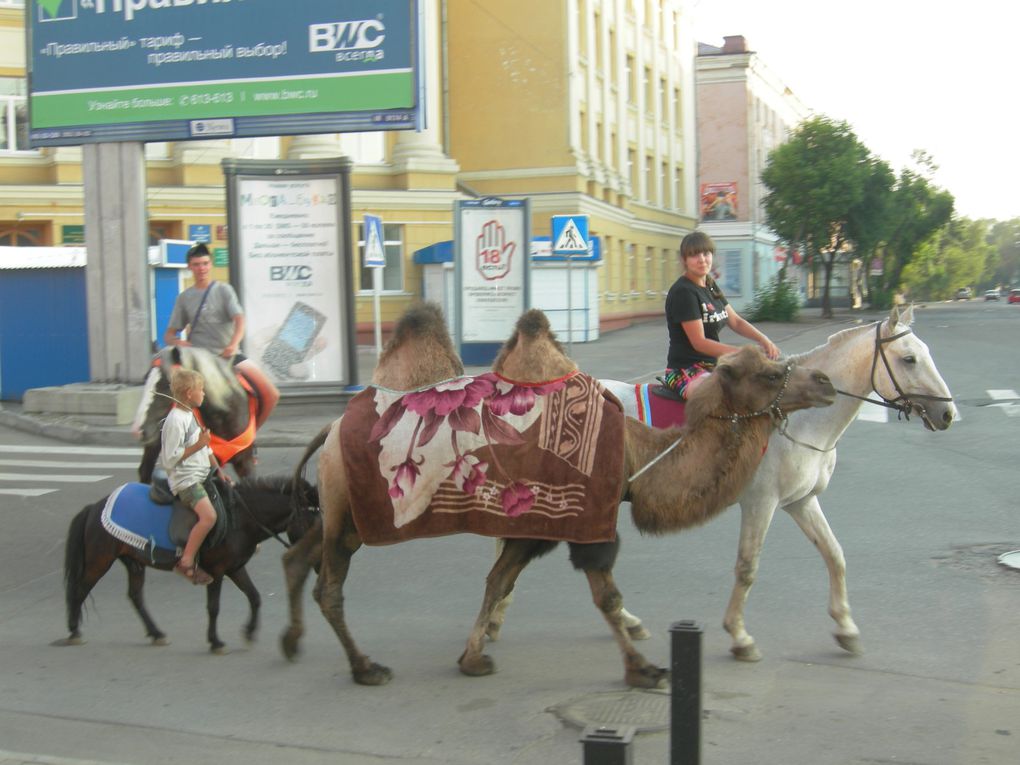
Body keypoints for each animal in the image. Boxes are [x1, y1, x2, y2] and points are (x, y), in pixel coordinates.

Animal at [59, 479, 318, 652]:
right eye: (315, 520)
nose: (318, 562)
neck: (240, 518)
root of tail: (95, 507)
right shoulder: (217, 571)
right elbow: (214, 607)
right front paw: (216, 641)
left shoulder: (235, 568)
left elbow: (254, 597)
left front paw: (249, 632)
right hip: (100, 560)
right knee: (80, 589)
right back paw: (73, 631)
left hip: (133, 561)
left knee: (135, 596)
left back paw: (157, 634)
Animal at [281, 308, 836, 693]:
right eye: (770, 373)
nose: (826, 382)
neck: (636, 455)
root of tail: (330, 431)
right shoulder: (588, 519)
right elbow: (605, 595)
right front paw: (644, 670)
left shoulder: (533, 526)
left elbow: (497, 581)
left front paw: (473, 657)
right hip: (350, 514)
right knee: (329, 587)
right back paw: (365, 667)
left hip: (339, 511)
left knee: (299, 555)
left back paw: (291, 640)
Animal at [595, 301, 954, 660]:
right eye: (909, 359)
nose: (947, 414)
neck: (797, 421)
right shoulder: (761, 503)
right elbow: (747, 567)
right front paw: (740, 636)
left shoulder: (801, 501)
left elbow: (834, 554)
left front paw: (846, 628)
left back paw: (627, 621)